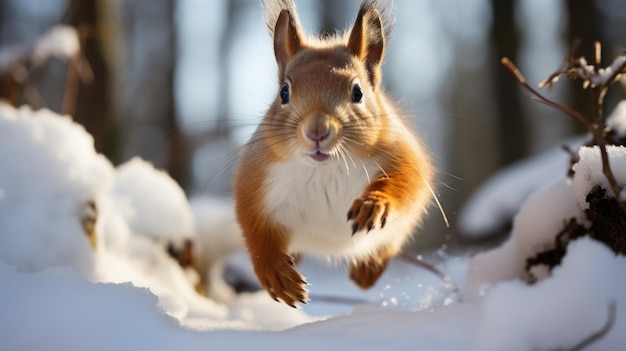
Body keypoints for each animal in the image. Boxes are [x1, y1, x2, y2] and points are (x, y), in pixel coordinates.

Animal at [232, 0, 432, 308]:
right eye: (284, 92)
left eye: (358, 92)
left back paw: (367, 269)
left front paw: (374, 204)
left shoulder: (401, 154)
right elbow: (255, 229)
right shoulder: (255, 177)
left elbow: (407, 183)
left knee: (388, 244)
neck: (325, 168)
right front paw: (277, 276)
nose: (317, 131)